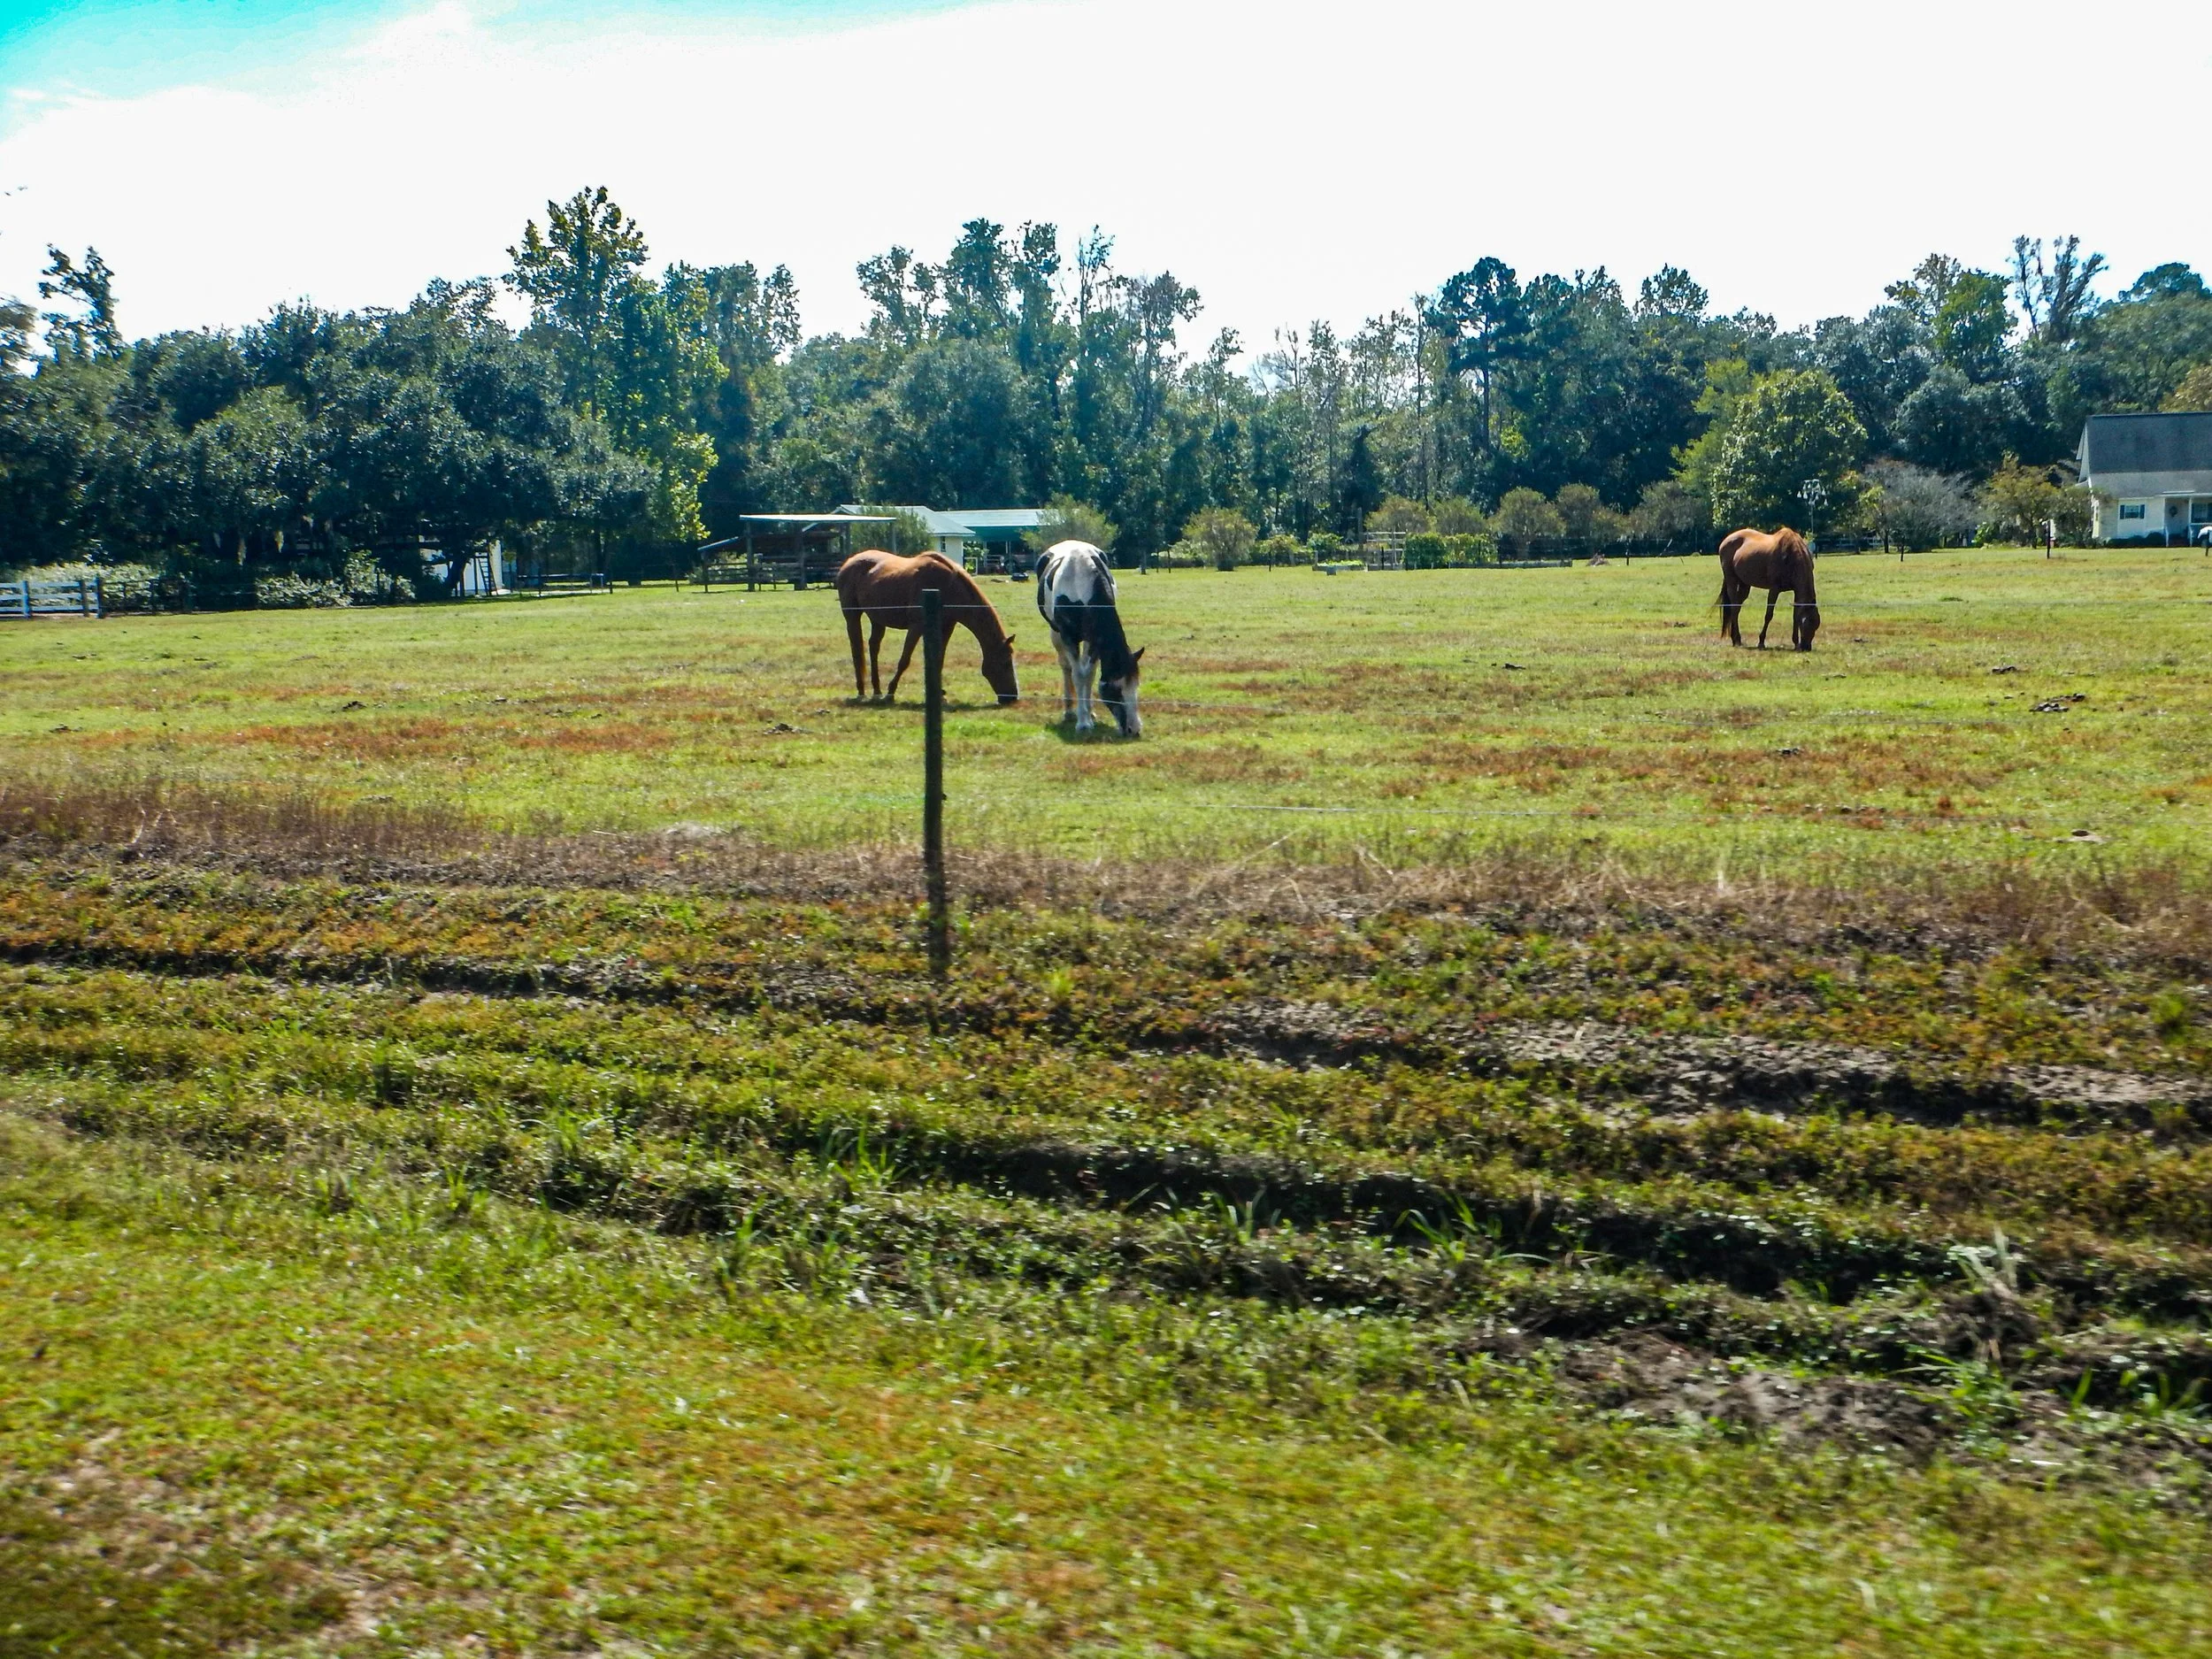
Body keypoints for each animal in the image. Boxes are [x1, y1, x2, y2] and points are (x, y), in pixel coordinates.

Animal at [834, 550, 1020, 704]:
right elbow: (904, 660)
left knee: (873, 647)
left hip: (877, 620)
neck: (947, 586)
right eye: (1005, 663)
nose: (1012, 697)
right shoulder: (916, 627)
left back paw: (876, 691)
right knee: (856, 649)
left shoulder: (946, 628)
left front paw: (939, 695)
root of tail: (848, 563)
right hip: (852, 617)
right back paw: (862, 692)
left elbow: (939, 660)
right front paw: (891, 693)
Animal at [1035, 539, 1144, 737]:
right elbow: (1078, 675)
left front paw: (1088, 715)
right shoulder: (1068, 636)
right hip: (1056, 634)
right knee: (1066, 667)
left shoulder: (1094, 640)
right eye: (1116, 689)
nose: (1134, 729)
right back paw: (1069, 711)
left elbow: (1089, 674)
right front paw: (1082, 723)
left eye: (1136, 685)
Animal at [1716, 527, 1821, 650]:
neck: (1790, 556)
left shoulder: (1796, 591)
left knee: (1737, 608)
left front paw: (1795, 643)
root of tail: (1726, 540)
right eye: (1806, 623)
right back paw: (1736, 639)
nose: (1806, 647)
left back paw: (1736, 639)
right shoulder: (1774, 589)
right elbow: (1768, 615)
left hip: (1744, 584)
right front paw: (1761, 642)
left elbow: (1795, 616)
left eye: (1816, 625)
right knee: (1734, 607)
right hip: (1731, 580)